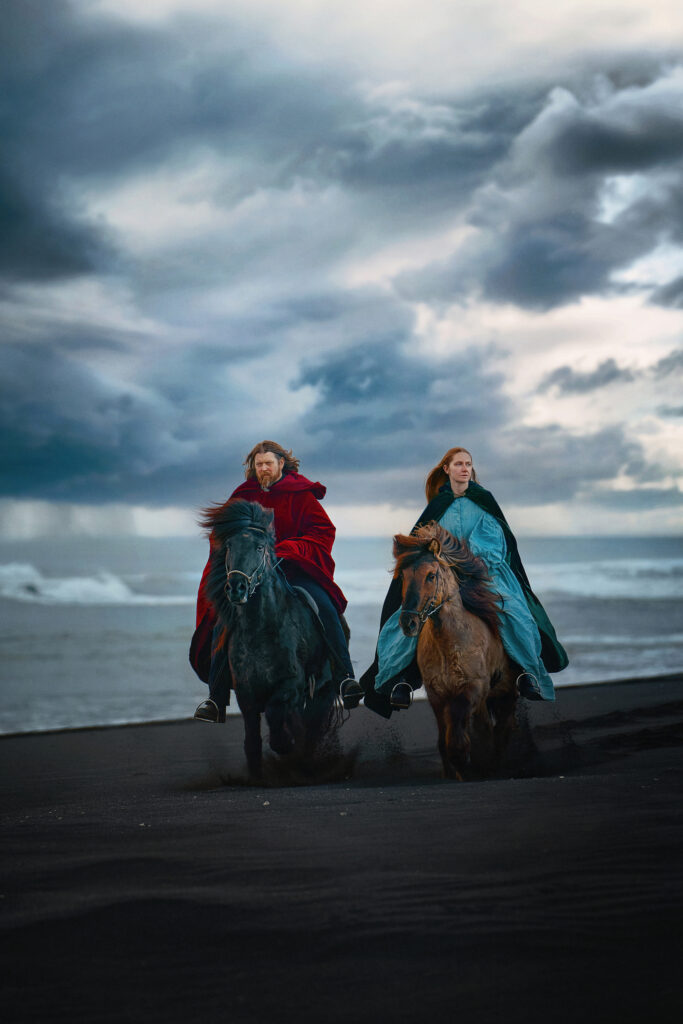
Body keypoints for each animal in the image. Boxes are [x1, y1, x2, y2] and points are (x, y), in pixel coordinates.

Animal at [202, 497, 342, 774]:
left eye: (259, 547)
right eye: (230, 545)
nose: (236, 588)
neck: (260, 630)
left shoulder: (290, 685)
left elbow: (278, 715)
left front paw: (285, 745)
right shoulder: (246, 692)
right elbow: (252, 740)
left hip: (324, 691)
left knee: (312, 730)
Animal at [395, 524, 518, 778]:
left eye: (431, 575)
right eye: (403, 576)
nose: (408, 623)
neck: (449, 644)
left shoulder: (474, 687)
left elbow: (459, 718)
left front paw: (462, 757)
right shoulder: (437, 694)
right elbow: (444, 738)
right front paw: (456, 770)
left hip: (507, 694)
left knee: (501, 731)